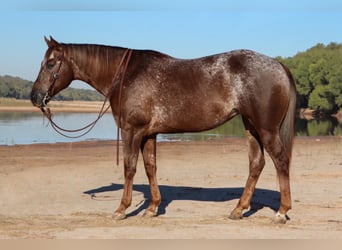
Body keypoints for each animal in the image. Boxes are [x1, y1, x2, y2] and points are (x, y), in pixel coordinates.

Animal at [30, 36, 296, 224]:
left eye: (51, 63)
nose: (35, 97)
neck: (127, 75)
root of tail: (279, 65)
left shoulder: (132, 131)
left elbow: (129, 168)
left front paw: (121, 209)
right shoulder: (148, 134)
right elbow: (150, 167)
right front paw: (152, 208)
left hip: (266, 129)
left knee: (280, 161)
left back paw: (281, 212)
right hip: (251, 127)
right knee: (256, 164)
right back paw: (238, 210)